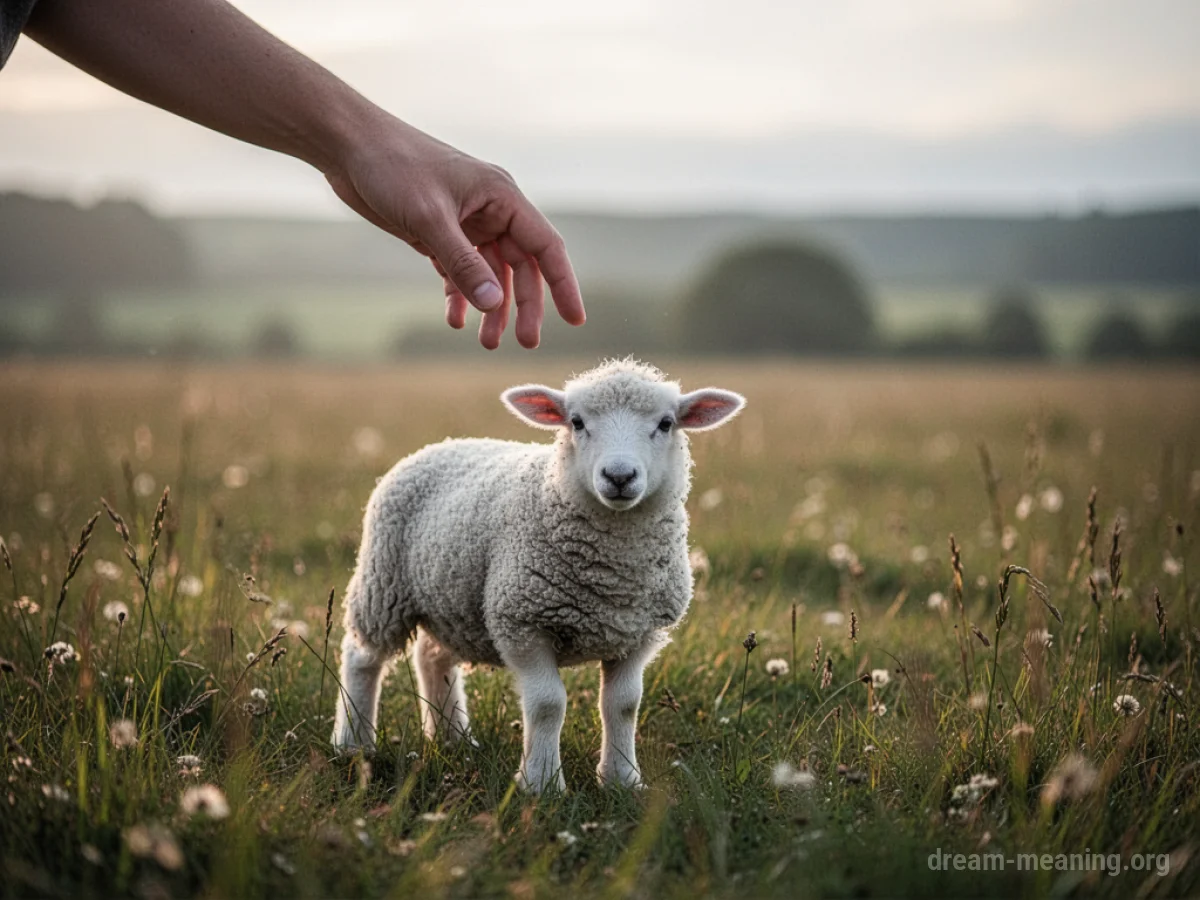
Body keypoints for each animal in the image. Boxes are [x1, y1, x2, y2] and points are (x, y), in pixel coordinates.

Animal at [331, 359, 744, 792]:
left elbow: (623, 705)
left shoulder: (639, 633)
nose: (619, 476)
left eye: (665, 424)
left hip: (451, 600)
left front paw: (622, 780)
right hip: (383, 582)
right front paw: (542, 784)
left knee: (432, 657)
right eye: (577, 422)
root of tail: (442, 443)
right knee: (362, 658)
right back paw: (354, 743)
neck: (612, 577)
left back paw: (452, 738)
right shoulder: (522, 622)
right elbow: (548, 704)